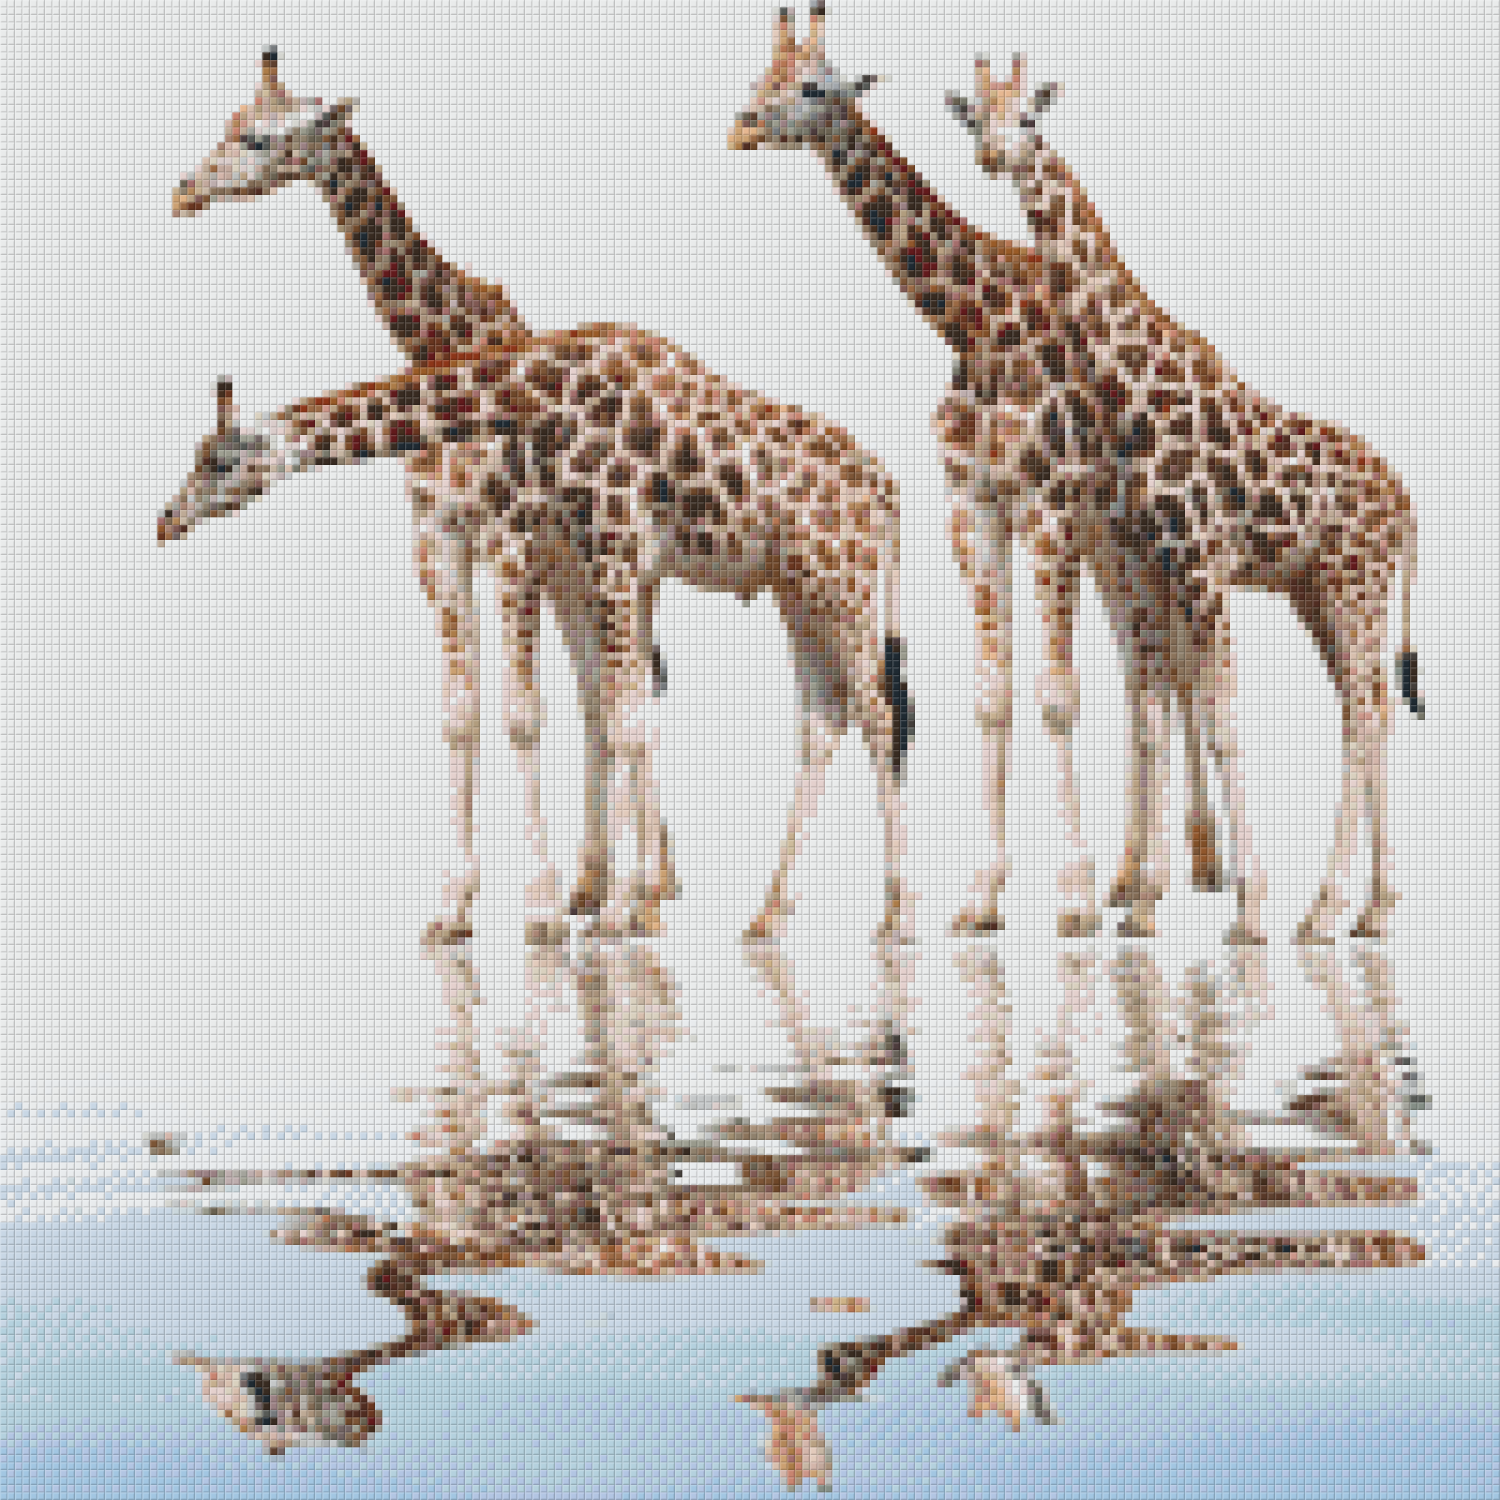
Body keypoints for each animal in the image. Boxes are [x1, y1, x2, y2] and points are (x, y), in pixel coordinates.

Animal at [159, 328, 913, 942]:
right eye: (196, 454)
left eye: (219, 461)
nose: (167, 520)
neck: (539, 391)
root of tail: (888, 492)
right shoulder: (566, 556)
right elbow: (566, 713)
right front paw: (488, 909)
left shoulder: (594, 546)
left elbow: (598, 718)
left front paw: (592, 911)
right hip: (798, 589)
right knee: (824, 718)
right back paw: (766, 914)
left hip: (843, 580)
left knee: (877, 714)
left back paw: (896, 916)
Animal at [171, 47, 673, 945]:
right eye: (228, 123)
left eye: (260, 139)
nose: (182, 192)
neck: (434, 345)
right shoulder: (437, 539)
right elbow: (461, 715)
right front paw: (456, 904)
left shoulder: (509, 536)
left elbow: (520, 713)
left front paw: (536, 906)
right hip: (569, 573)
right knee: (599, 696)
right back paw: (597, 885)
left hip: (616, 568)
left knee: (636, 694)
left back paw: (644, 891)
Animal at [730, 6, 1234, 939]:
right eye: (760, 75)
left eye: (814, 85)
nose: (741, 125)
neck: (975, 327)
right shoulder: (975, 505)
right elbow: (993, 696)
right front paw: (985, 893)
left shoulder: (1049, 504)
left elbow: (1056, 692)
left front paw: (1070, 896)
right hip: (1113, 543)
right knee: (1147, 671)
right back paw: (1138, 875)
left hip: (1145, 534)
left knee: (1172, 671)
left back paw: (1183, 869)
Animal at [950, 54, 1423, 941]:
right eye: (977, 119)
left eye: (1029, 117)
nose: (994, 156)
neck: (1134, 383)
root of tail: (1410, 508)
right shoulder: (1161, 557)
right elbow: (1168, 704)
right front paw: (1150, 899)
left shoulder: (1203, 561)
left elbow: (1217, 713)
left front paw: (1245, 910)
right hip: (1321, 590)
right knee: (1366, 707)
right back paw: (1370, 908)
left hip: (1356, 585)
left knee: (1367, 712)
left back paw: (1326, 909)